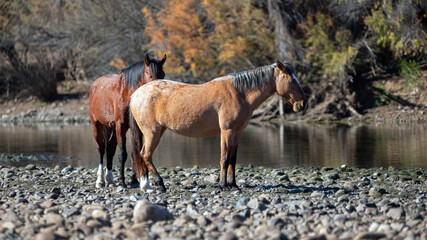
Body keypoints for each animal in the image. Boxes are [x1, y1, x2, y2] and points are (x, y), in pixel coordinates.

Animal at [89, 53, 166, 188]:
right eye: (150, 75)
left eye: (163, 75)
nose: (157, 93)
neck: (126, 92)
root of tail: (95, 84)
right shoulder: (121, 125)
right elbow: (122, 154)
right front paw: (122, 180)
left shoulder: (136, 127)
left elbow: (136, 151)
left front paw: (139, 180)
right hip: (97, 125)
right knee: (101, 149)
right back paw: (100, 181)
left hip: (112, 127)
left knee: (110, 149)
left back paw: (110, 180)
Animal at [130, 60, 308, 191]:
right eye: (291, 80)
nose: (303, 104)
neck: (240, 93)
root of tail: (135, 95)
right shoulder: (227, 132)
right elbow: (224, 158)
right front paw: (223, 186)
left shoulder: (237, 133)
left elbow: (233, 160)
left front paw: (233, 185)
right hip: (152, 132)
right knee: (145, 154)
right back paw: (160, 184)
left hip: (158, 131)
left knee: (144, 155)